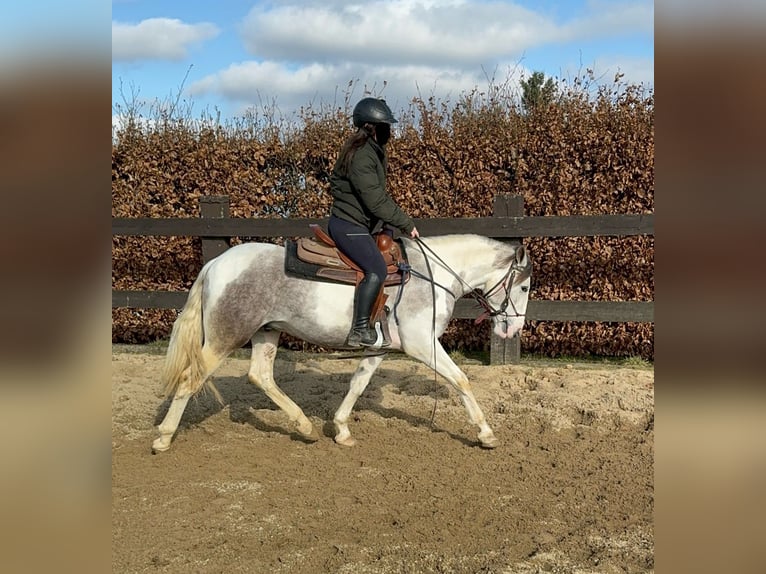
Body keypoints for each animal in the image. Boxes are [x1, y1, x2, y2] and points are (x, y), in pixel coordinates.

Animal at [151, 234, 536, 454]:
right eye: (524, 287)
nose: (513, 330)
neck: (432, 275)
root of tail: (216, 263)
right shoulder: (422, 344)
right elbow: (461, 380)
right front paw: (486, 433)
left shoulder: (381, 348)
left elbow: (358, 383)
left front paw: (341, 429)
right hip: (224, 338)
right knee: (190, 380)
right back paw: (164, 437)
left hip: (266, 332)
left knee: (260, 376)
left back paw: (304, 426)